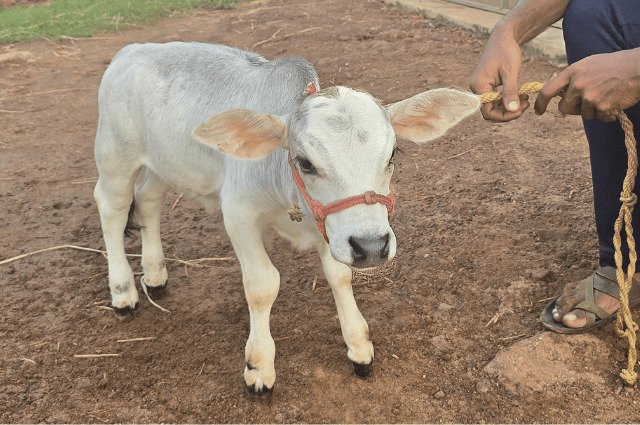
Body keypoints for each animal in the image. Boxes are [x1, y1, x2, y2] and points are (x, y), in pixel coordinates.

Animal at [94, 41, 479, 394]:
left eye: (393, 154)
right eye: (305, 162)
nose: (371, 246)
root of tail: (132, 50)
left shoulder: (331, 228)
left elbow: (339, 275)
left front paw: (359, 346)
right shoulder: (238, 213)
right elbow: (263, 284)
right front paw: (259, 364)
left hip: (161, 164)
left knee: (148, 200)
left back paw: (155, 274)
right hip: (115, 157)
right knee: (111, 208)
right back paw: (123, 291)